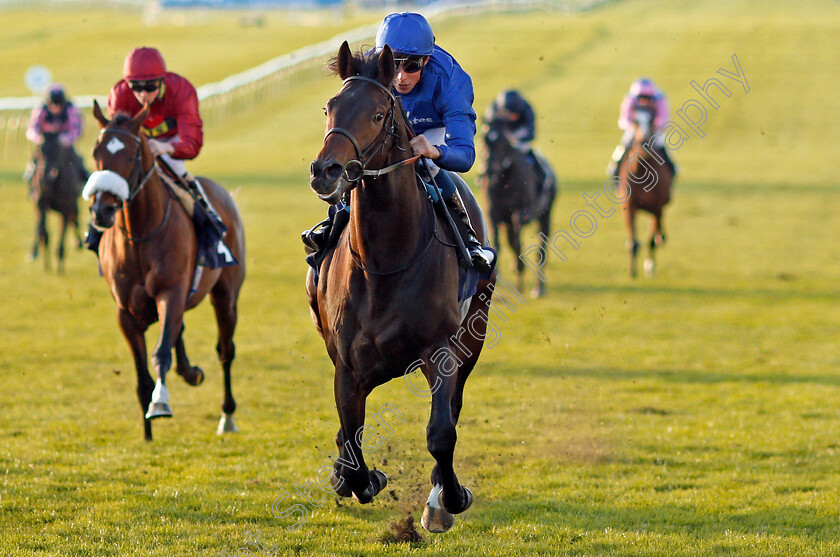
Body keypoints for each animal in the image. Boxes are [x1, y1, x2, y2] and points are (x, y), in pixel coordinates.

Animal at [27, 130, 84, 270]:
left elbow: (63, 232)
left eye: (58, 150)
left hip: (73, 204)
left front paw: (60, 262)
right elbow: (43, 230)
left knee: (74, 218)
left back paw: (78, 242)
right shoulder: (41, 203)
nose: (45, 178)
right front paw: (45, 261)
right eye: (40, 150)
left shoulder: (66, 207)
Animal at [86, 100, 246, 438]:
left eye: (131, 155)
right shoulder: (125, 311)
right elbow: (142, 373)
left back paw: (227, 415)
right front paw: (147, 434)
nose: (102, 210)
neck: (140, 235)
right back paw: (191, 372)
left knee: (225, 350)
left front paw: (160, 403)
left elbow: (161, 351)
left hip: (226, 294)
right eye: (96, 152)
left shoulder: (170, 292)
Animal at [306, 41, 492, 532]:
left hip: (474, 337)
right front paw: (360, 478)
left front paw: (449, 499)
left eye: (376, 114)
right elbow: (351, 443)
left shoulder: (441, 350)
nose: (325, 171)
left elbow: (441, 433)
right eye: (329, 108)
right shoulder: (347, 365)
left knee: (454, 408)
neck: (384, 263)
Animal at [480, 119, 556, 298]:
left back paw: (539, 288)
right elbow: (499, 243)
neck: (505, 179)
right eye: (483, 139)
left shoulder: (524, 211)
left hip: (546, 215)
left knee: (541, 249)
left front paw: (520, 268)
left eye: (503, 142)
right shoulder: (493, 215)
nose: (487, 170)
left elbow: (516, 239)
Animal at [612, 106, 672, 276]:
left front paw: (649, 267)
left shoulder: (657, 208)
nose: (644, 141)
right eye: (636, 120)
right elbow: (632, 242)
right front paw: (632, 271)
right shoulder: (629, 206)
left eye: (651, 118)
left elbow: (651, 241)